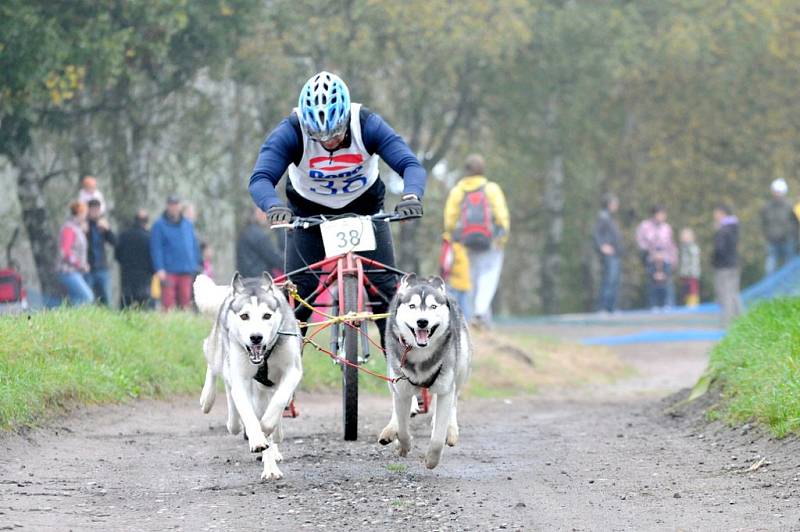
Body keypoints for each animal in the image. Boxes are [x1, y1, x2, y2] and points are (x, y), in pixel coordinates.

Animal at [195, 272, 304, 480]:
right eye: (244, 316)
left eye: (266, 316)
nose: (256, 337)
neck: (264, 355)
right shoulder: (241, 378)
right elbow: (248, 413)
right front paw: (257, 438)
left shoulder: (292, 371)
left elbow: (278, 403)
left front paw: (268, 428)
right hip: (220, 352)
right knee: (216, 368)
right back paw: (209, 400)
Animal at [378, 274, 472, 470]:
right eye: (412, 306)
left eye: (433, 306)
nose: (422, 321)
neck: (421, 355)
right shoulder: (401, 389)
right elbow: (403, 428)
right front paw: (403, 445)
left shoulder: (445, 389)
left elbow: (437, 438)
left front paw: (432, 460)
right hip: (392, 375)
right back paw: (391, 430)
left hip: (460, 370)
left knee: (454, 402)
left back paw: (451, 430)